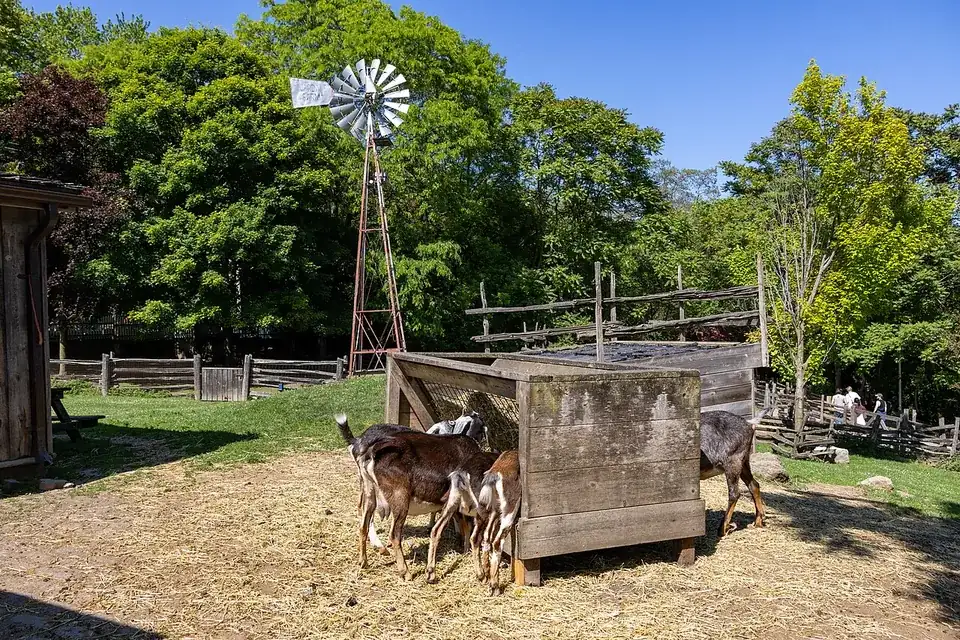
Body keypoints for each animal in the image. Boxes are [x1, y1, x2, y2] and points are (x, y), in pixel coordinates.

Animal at [699, 408, 771, 537]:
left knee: (734, 493)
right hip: (743, 462)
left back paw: (723, 528)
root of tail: (749, 423)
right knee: (754, 485)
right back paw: (758, 521)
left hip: (733, 462)